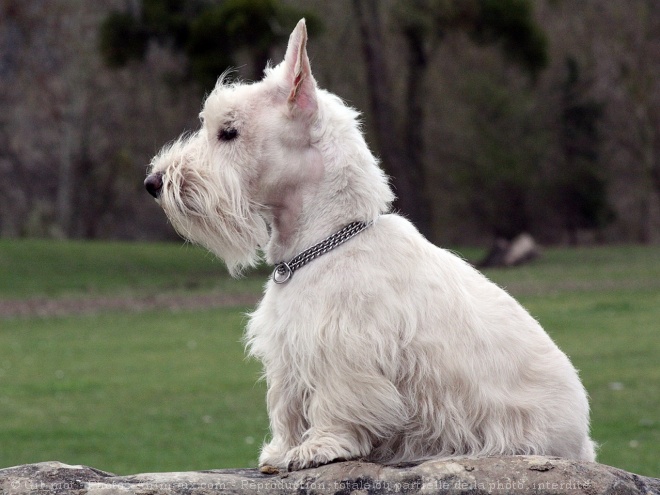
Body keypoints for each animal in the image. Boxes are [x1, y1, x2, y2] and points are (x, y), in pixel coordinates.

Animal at [146, 19, 600, 470]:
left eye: (229, 132)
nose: (153, 182)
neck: (327, 239)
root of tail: (583, 444)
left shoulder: (343, 347)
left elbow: (335, 404)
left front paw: (319, 447)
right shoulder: (289, 352)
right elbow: (286, 404)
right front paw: (280, 450)